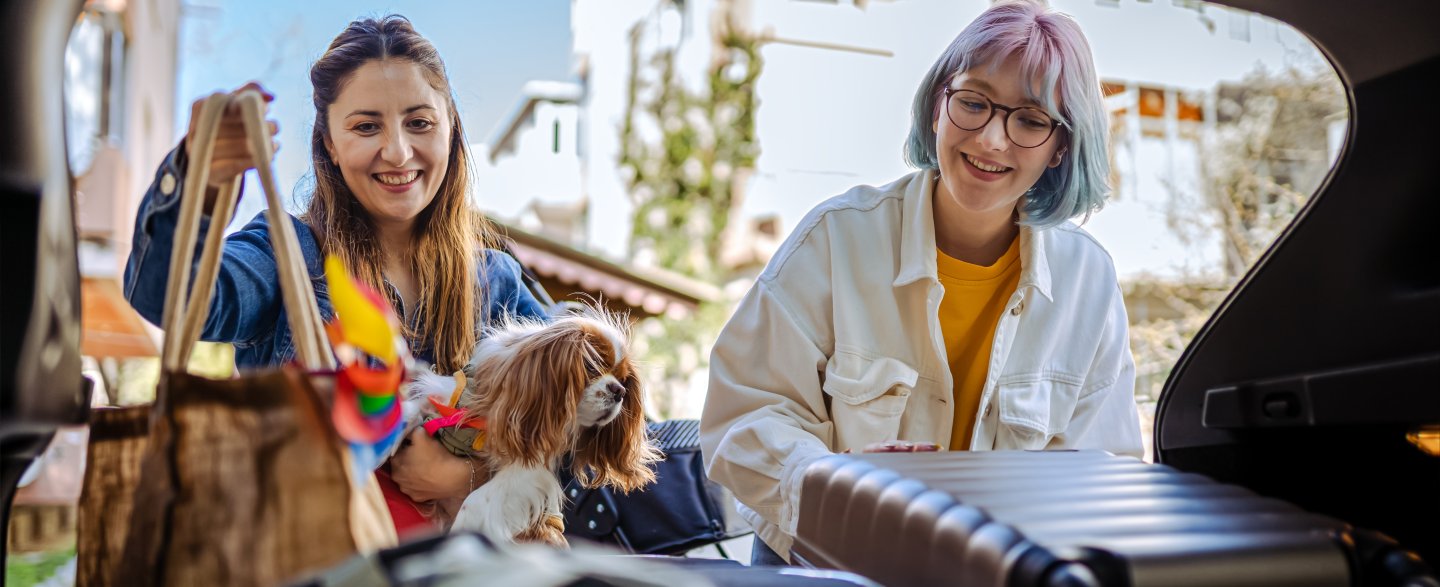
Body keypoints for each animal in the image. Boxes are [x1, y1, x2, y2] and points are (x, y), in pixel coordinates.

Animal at [400, 307, 659, 546]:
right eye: (592, 365)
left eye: (624, 380)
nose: (619, 391)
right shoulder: (448, 400)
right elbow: (416, 404)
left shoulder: (529, 470)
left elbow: (475, 501)